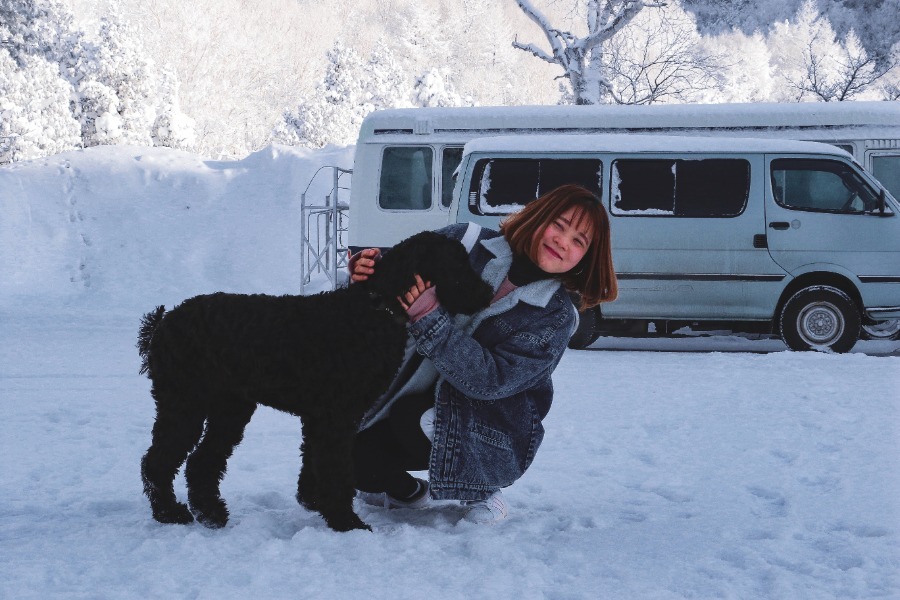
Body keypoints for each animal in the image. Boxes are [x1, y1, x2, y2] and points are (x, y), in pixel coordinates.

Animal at [137, 230, 496, 528]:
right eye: (457, 263)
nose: (488, 292)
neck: (372, 309)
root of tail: (162, 323)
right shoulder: (336, 416)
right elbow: (336, 468)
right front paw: (345, 521)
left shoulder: (321, 416)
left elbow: (314, 460)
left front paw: (311, 498)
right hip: (184, 404)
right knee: (157, 461)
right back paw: (170, 512)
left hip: (229, 409)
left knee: (201, 461)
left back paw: (210, 513)